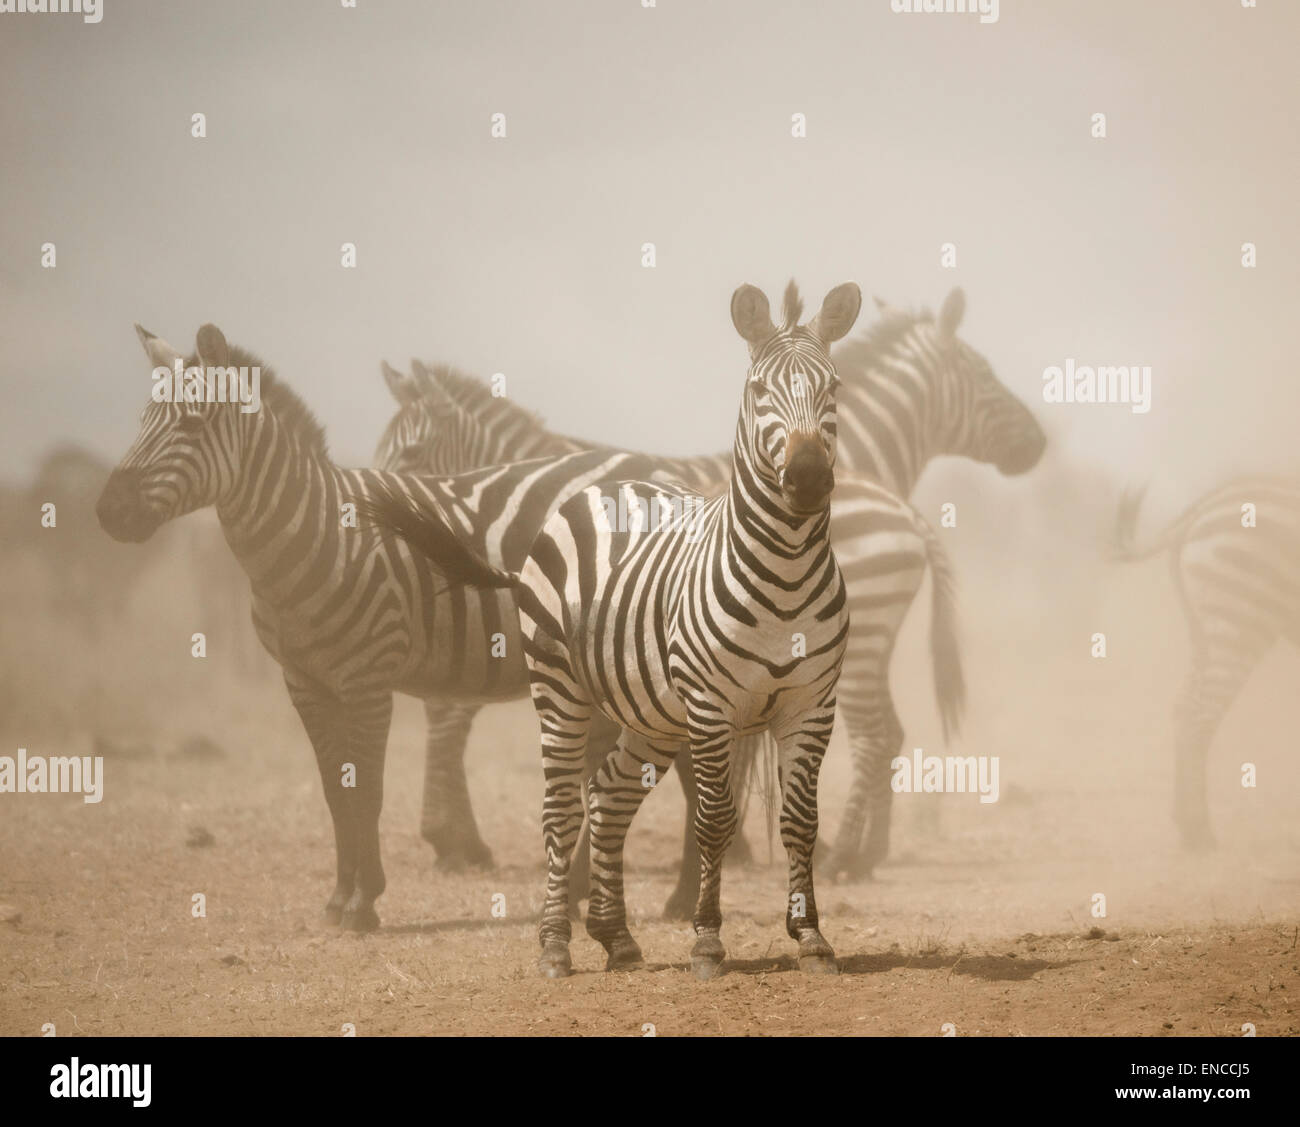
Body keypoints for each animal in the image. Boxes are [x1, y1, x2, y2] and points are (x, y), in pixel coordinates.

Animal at [96, 322, 670, 930]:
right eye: (141, 420)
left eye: (191, 423)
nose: (108, 512)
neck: (318, 533)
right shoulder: (305, 683)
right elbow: (336, 792)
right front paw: (337, 897)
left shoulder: (368, 679)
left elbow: (367, 790)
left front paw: (363, 901)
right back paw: (584, 889)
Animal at [374, 282, 863, 977]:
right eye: (758, 390)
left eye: (835, 387)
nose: (808, 479)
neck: (787, 572)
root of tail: (603, 487)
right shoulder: (711, 708)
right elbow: (714, 818)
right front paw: (707, 941)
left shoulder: (812, 705)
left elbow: (801, 821)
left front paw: (813, 939)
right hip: (561, 689)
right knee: (561, 810)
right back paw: (555, 945)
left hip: (651, 713)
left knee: (608, 797)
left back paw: (617, 937)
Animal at [1107, 475, 1300, 847]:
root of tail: (1199, 510)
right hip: (1238, 619)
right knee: (1200, 717)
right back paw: (1198, 831)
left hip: (1203, 627)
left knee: (1185, 707)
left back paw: (1188, 824)